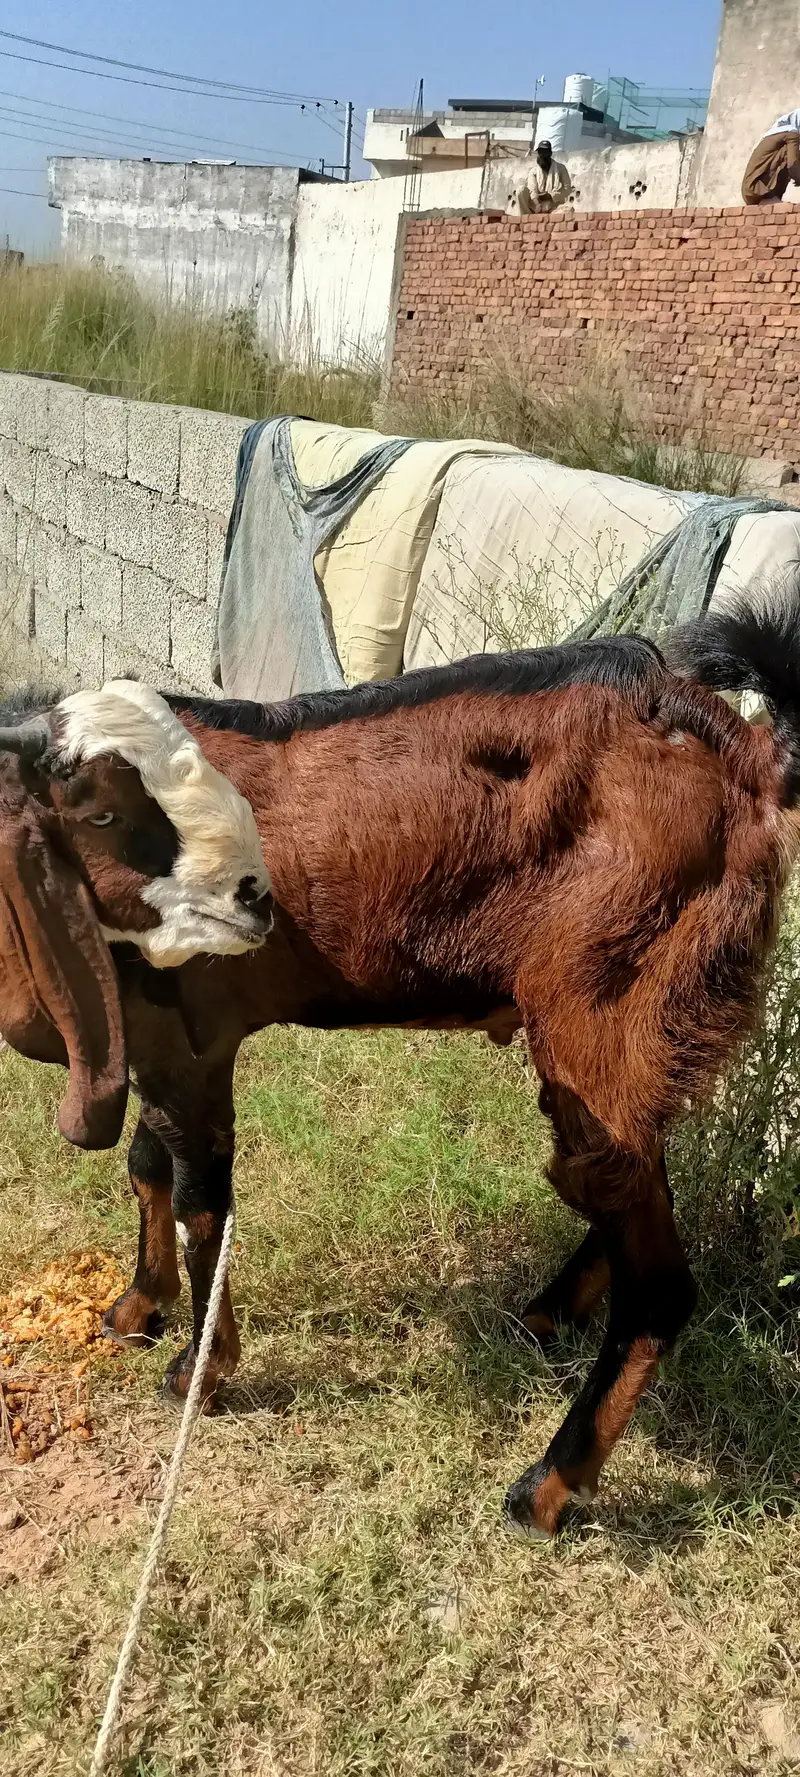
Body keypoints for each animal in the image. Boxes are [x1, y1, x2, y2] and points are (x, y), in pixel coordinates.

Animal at [0, 611, 797, 1540]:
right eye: (98, 810)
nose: (253, 899)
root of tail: (749, 753)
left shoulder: (190, 1040)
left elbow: (204, 1203)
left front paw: (200, 1370)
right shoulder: (153, 1035)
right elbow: (146, 1165)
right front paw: (136, 1307)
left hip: (609, 1008)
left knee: (658, 1278)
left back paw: (546, 1487)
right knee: (628, 1181)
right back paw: (546, 1312)